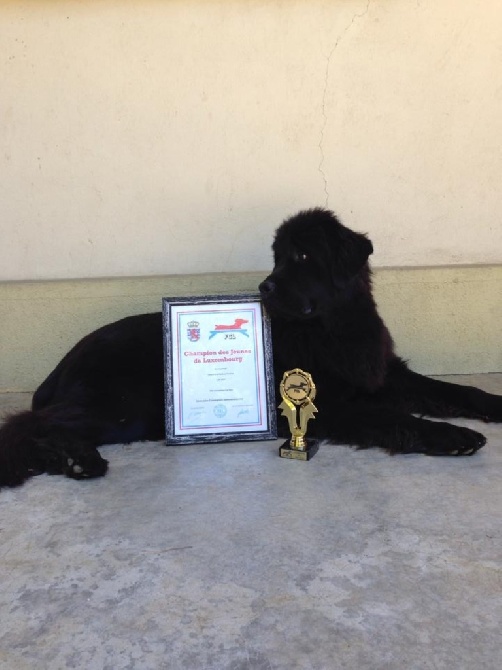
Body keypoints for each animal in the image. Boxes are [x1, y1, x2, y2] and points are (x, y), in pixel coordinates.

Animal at [0, 210, 500, 488]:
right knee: (26, 424)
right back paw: (75, 460)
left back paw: (72, 460)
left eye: (302, 256)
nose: (265, 286)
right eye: (278, 257)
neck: (331, 327)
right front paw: (454, 437)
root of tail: (62, 363)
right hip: (121, 405)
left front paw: (492, 403)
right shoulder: (329, 403)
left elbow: (452, 390)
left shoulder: (383, 374)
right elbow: (393, 418)